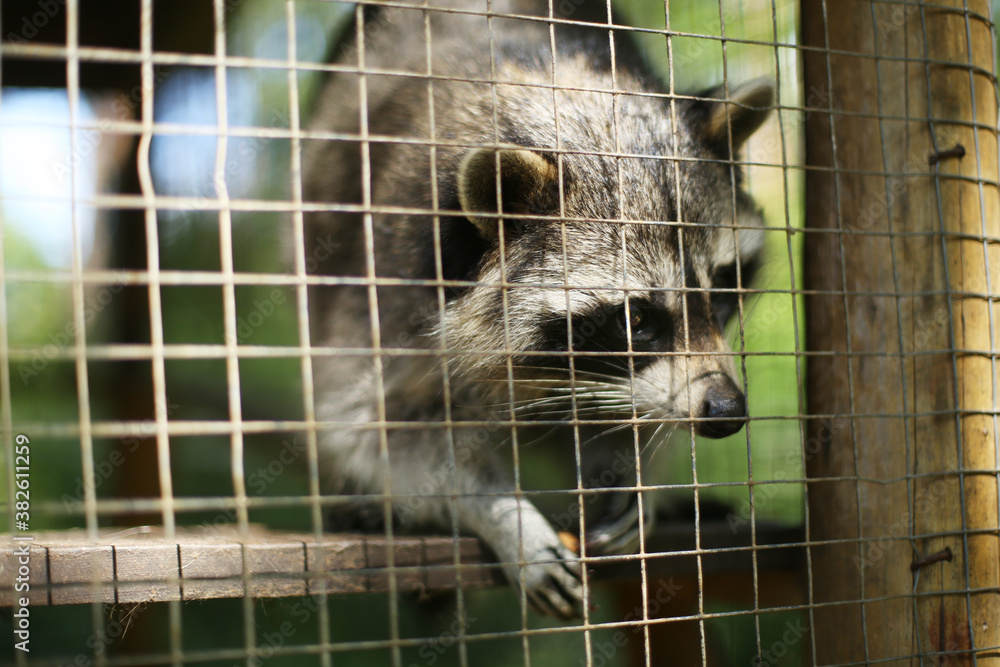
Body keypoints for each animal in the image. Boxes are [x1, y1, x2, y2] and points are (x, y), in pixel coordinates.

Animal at [302, 0, 773, 618]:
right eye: (636, 319)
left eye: (719, 292)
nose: (725, 410)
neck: (556, 86)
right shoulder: (383, 278)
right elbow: (373, 427)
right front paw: (501, 512)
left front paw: (635, 471)